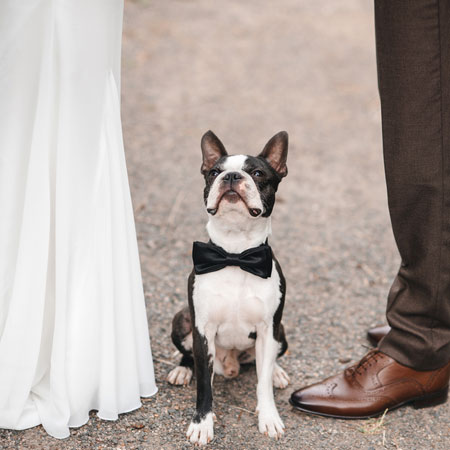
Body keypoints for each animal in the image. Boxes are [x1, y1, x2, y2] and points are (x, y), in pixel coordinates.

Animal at [168, 131, 288, 446]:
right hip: (182, 319)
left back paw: (277, 372)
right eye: (214, 172)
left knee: (268, 361)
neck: (235, 254)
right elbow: (204, 387)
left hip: (281, 332)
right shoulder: (203, 331)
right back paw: (182, 369)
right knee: (189, 356)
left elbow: (262, 384)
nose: (232, 176)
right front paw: (202, 424)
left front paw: (269, 417)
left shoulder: (268, 328)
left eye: (257, 173)